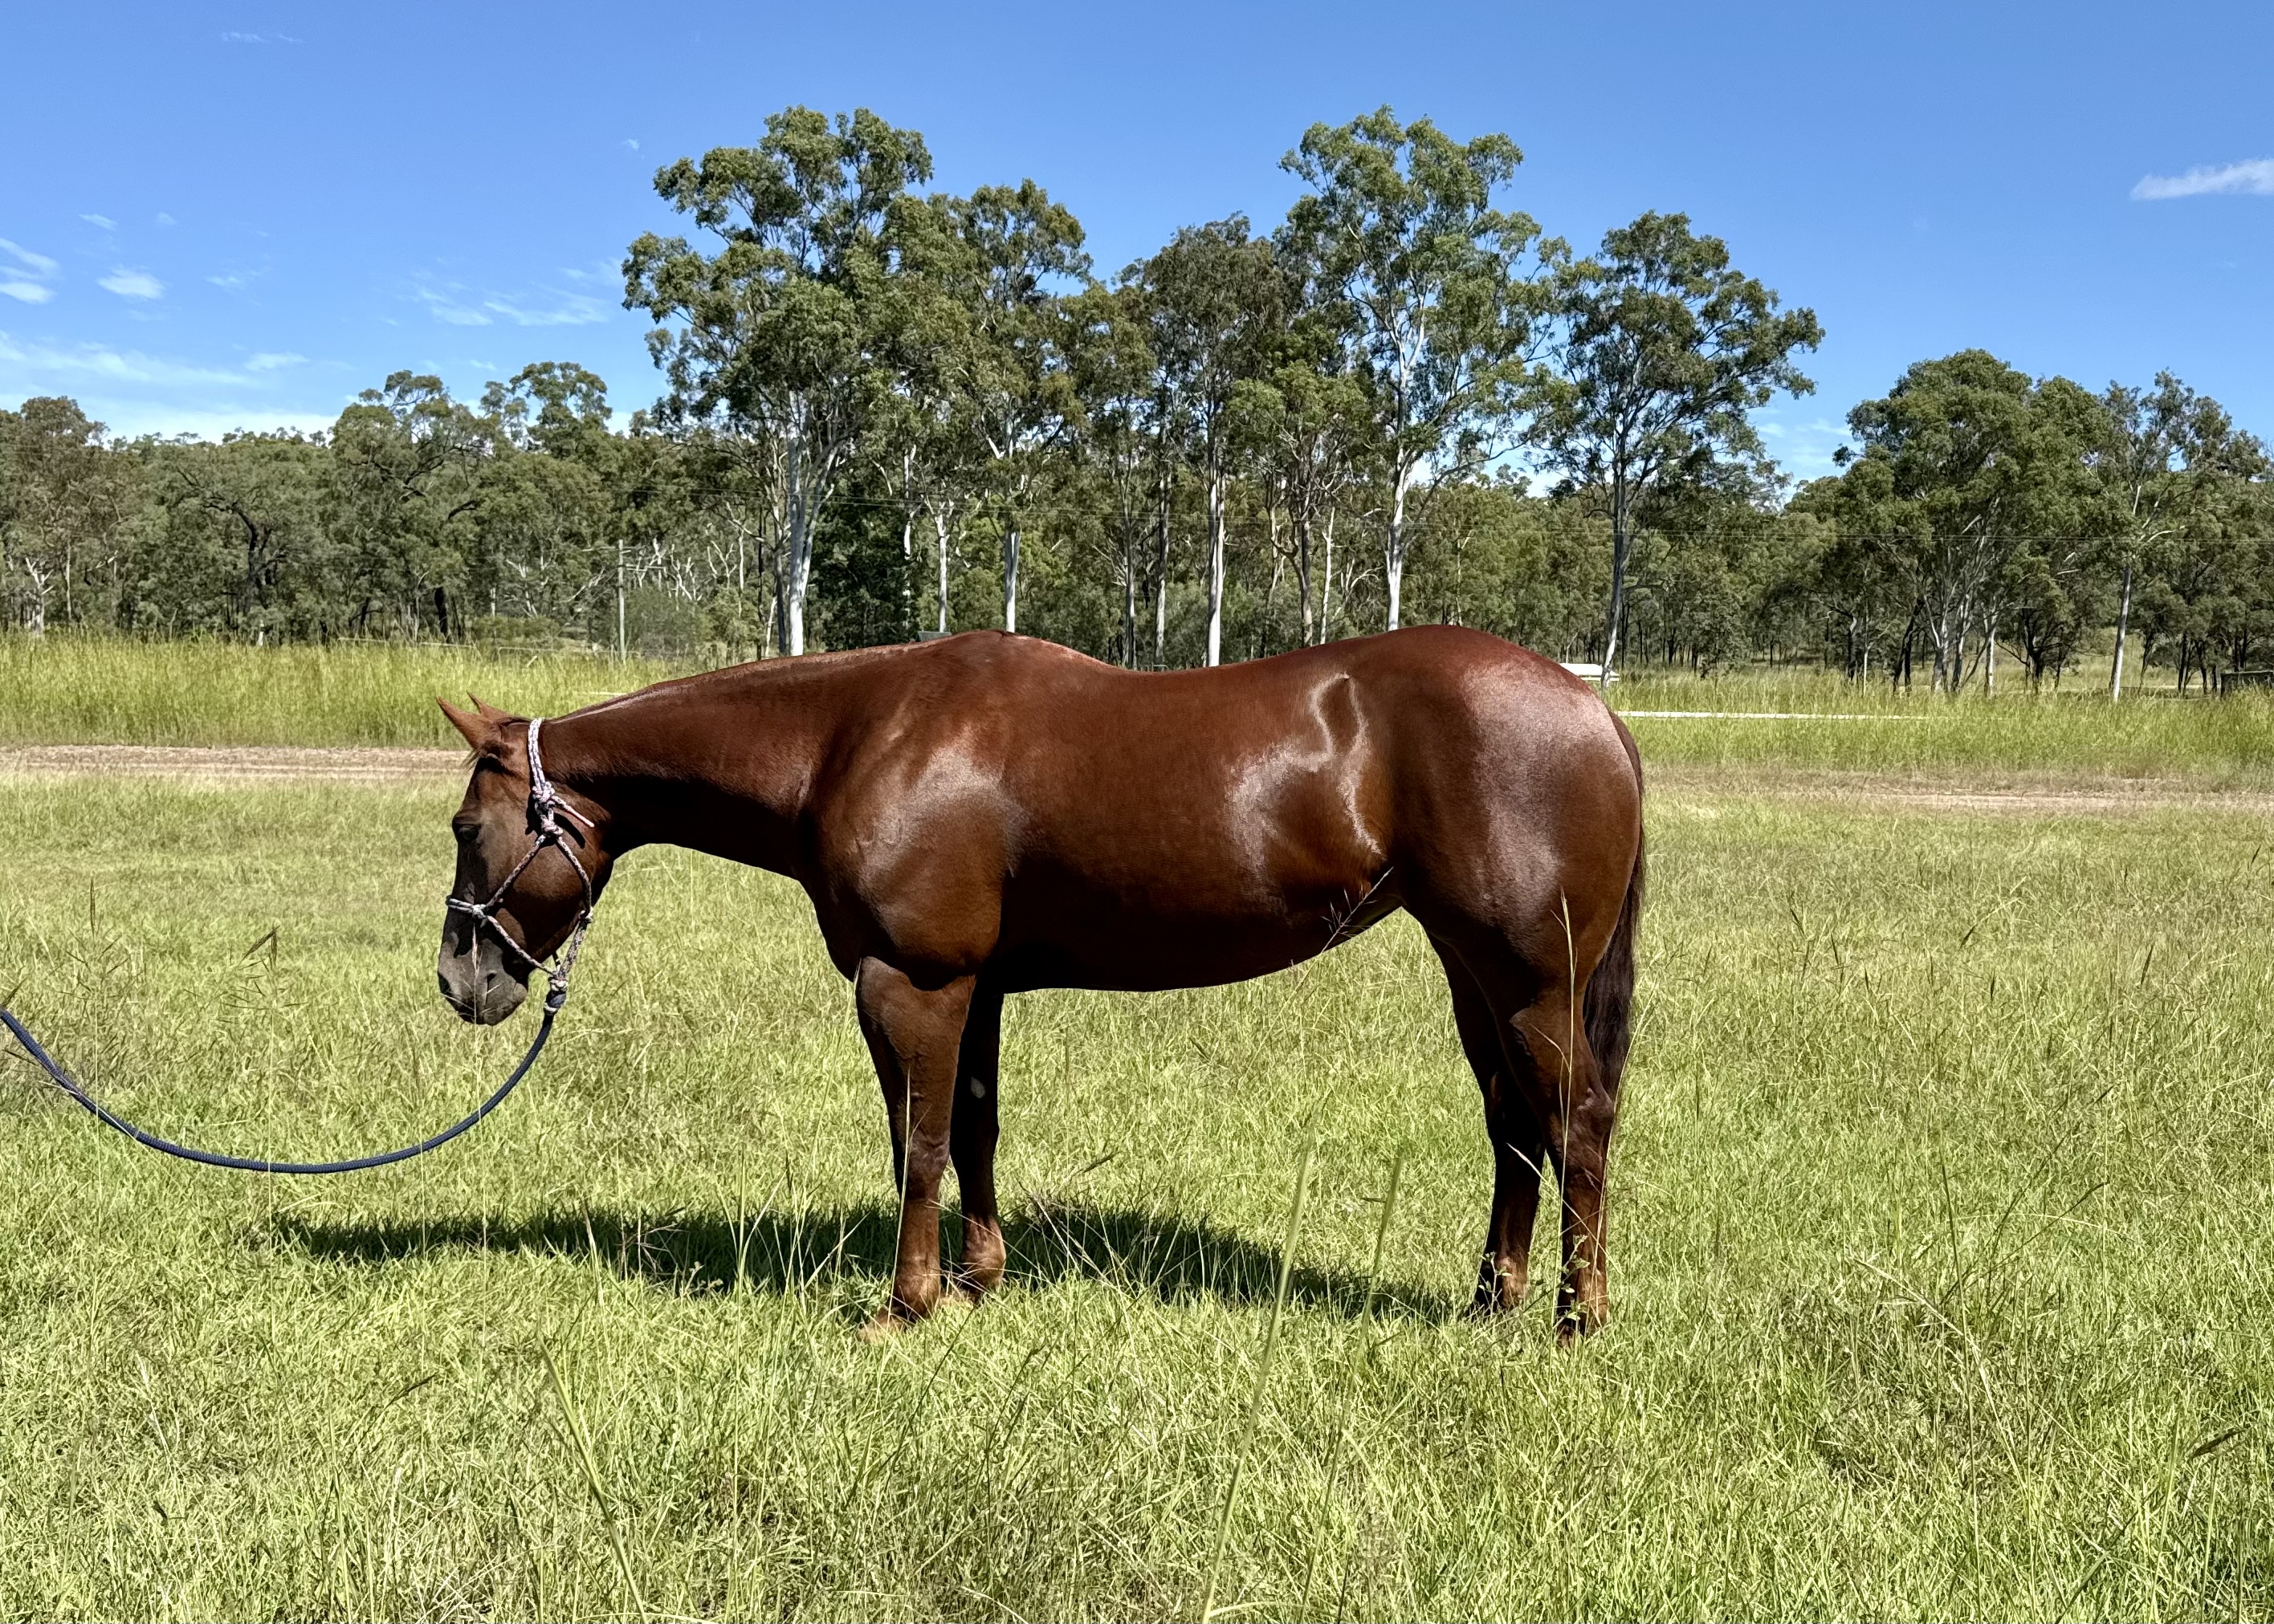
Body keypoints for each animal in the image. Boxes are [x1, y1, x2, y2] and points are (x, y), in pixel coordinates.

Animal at [436, 625, 1645, 1336]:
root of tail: (1594, 711)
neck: (855, 736)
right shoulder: (979, 987)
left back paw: (1576, 1315)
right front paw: (979, 1279)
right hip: (1474, 973)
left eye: (463, 827)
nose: (461, 978)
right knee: (1513, 1126)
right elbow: (973, 1130)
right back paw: (1493, 1300)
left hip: (1531, 980)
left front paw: (906, 1304)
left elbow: (917, 1143)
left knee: (1576, 1118)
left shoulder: (910, 982)